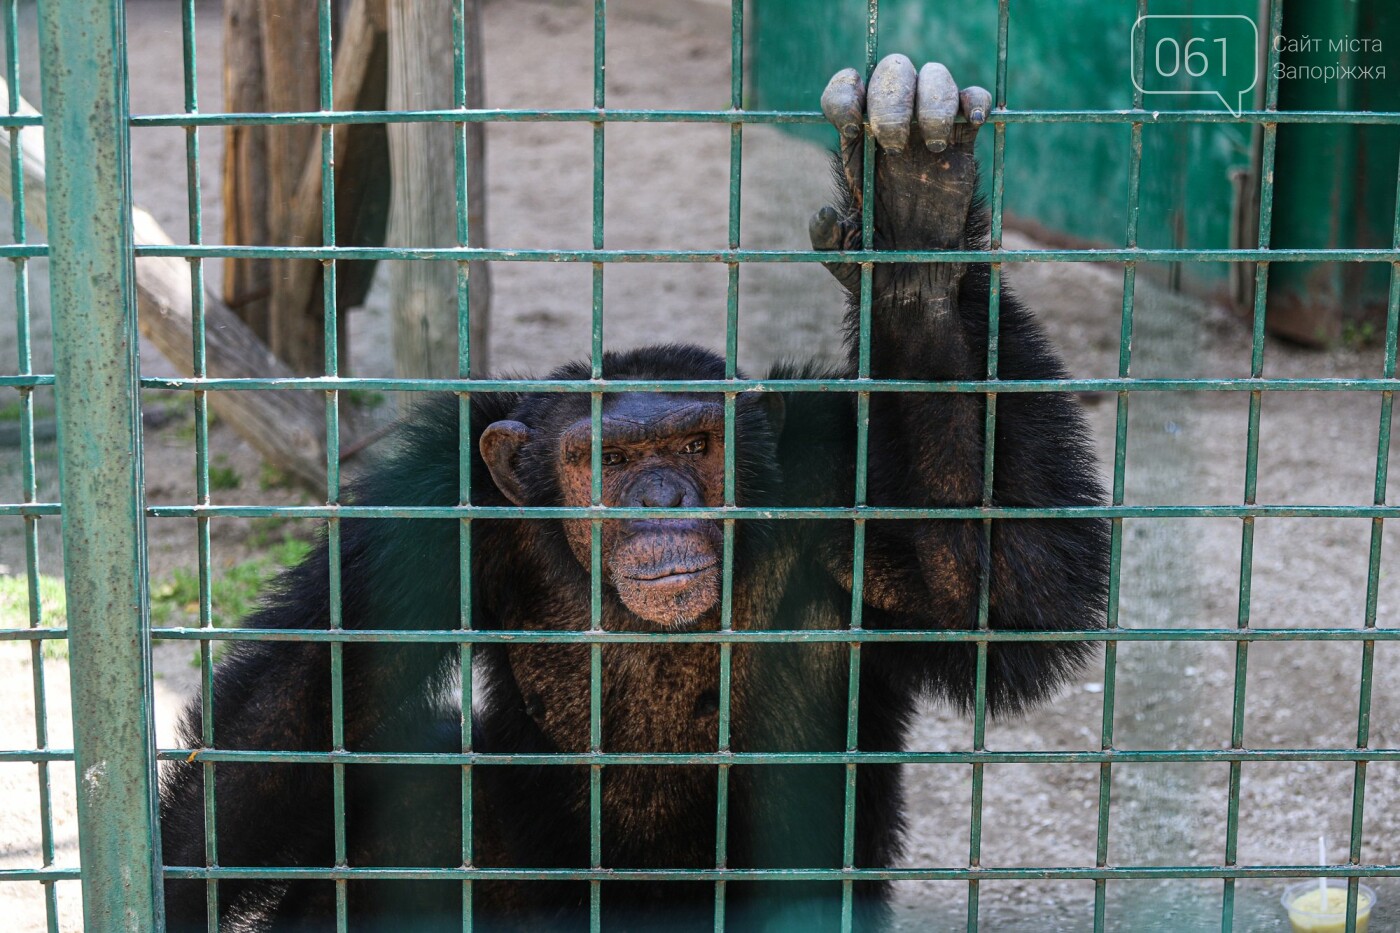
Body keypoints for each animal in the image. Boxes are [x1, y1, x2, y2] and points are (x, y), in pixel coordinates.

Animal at [158, 59, 1108, 930]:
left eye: (693, 444)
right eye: (608, 458)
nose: (659, 497)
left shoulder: (836, 478)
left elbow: (997, 581)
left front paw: (917, 233)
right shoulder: (428, 511)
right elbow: (295, 716)